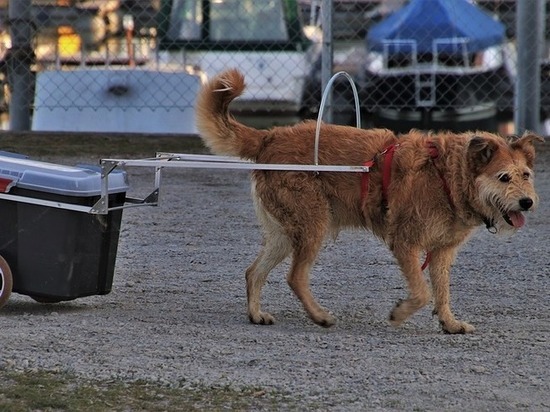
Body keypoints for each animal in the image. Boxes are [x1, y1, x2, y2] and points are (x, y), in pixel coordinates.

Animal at [195, 69, 544, 334]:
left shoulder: (441, 252)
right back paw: (319, 316)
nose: (527, 203)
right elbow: (421, 292)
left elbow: (442, 292)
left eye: (526, 175)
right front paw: (400, 313)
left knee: (253, 272)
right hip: (312, 226)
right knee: (295, 277)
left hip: (284, 232)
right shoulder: (405, 242)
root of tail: (269, 137)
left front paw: (449, 322)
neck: (448, 176)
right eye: (503, 178)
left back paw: (256, 314)